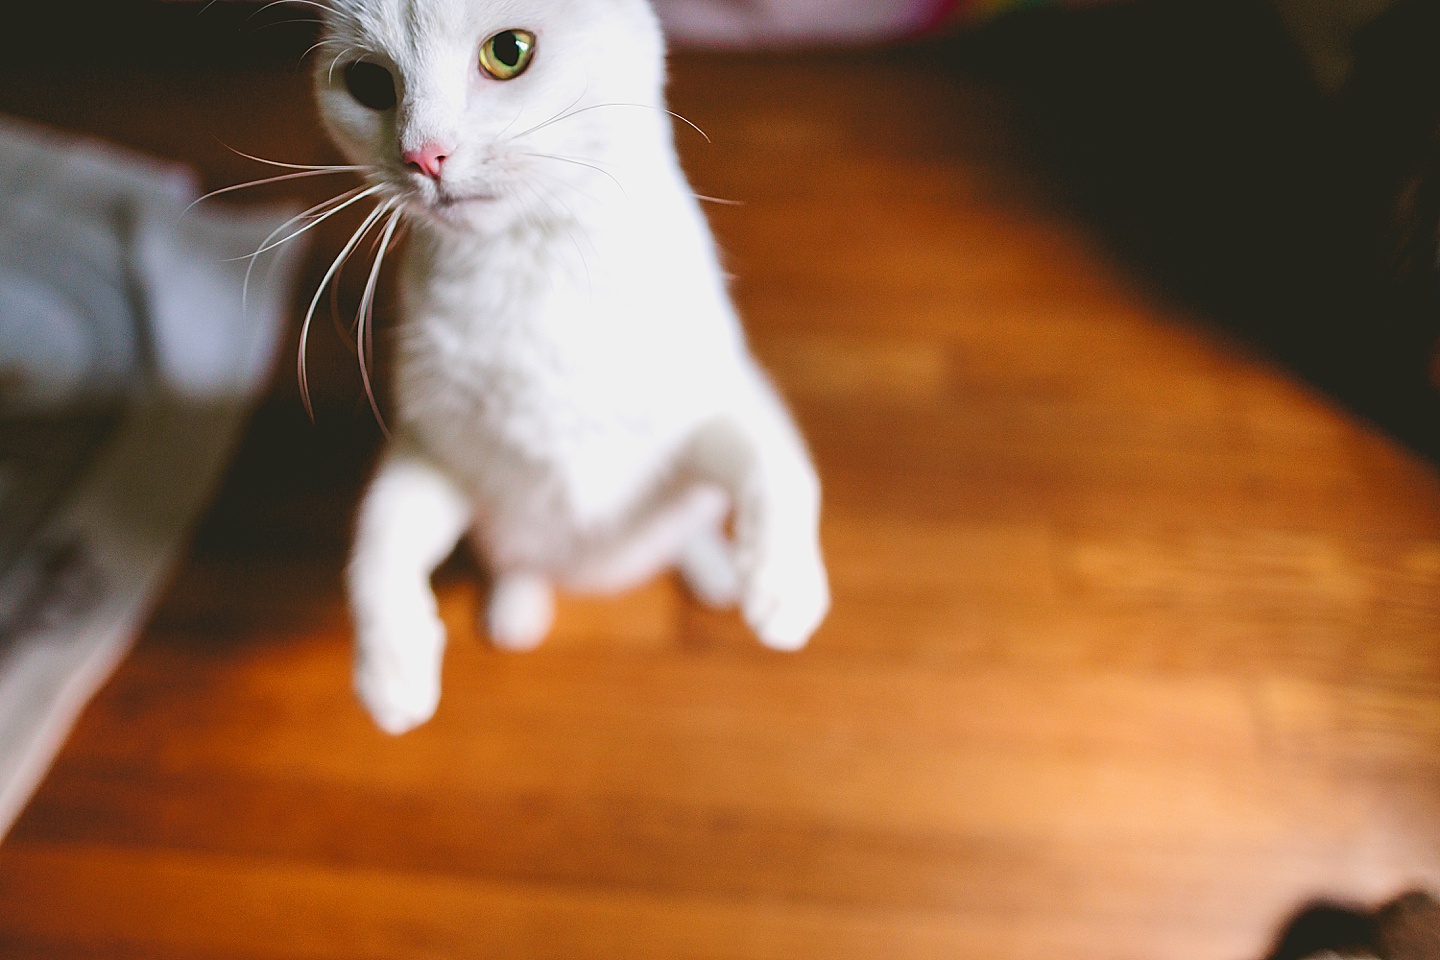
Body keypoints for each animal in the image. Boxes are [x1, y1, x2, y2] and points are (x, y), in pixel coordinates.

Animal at [315, 0, 835, 731]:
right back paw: (517, 611)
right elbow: (379, 540)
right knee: (520, 559)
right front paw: (389, 672)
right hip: (504, 528)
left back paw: (717, 573)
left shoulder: (715, 400)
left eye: (508, 52)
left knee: (690, 525)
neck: (530, 270)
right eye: (367, 83)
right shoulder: (436, 449)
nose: (423, 155)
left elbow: (780, 466)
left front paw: (785, 588)